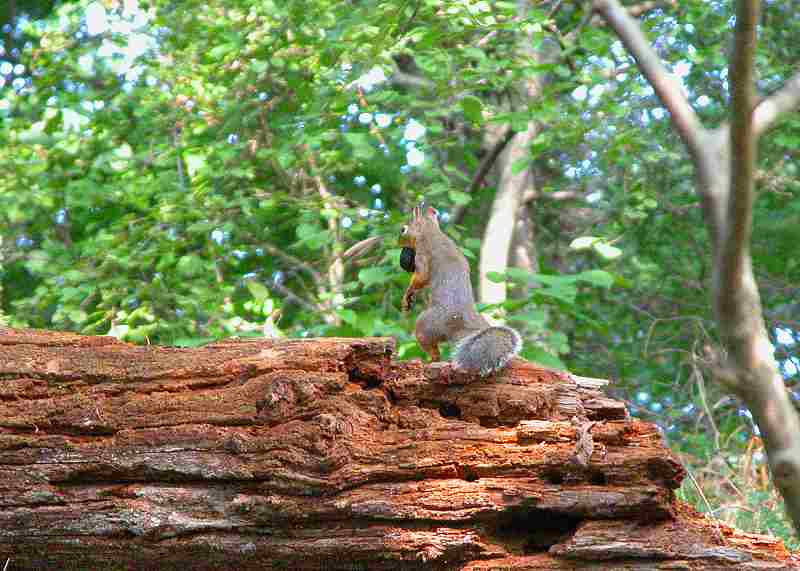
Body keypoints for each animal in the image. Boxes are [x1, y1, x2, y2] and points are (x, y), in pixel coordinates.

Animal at [396, 203, 520, 378]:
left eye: (403, 229)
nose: (397, 243)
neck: (430, 230)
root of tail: (462, 325)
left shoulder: (423, 252)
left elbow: (421, 276)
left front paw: (408, 293)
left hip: (425, 324)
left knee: (430, 346)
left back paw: (430, 360)